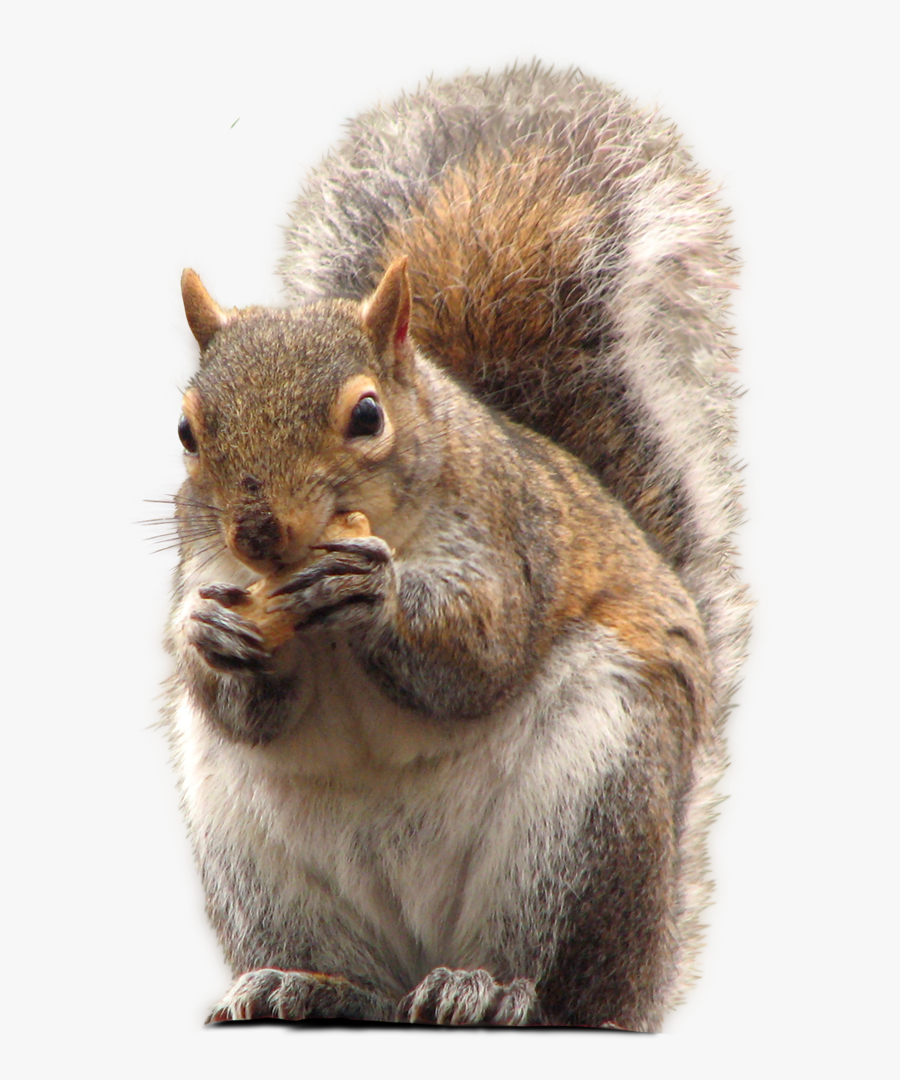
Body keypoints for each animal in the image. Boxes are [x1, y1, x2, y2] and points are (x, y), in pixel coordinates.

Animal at [163, 64, 748, 1031]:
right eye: (185, 431)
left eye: (367, 416)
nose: (256, 532)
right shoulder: (204, 565)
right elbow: (240, 705)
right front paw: (214, 638)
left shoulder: (507, 534)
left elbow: (480, 651)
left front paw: (376, 598)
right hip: (256, 860)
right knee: (359, 982)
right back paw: (303, 986)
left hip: (590, 812)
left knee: (558, 986)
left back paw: (490, 989)